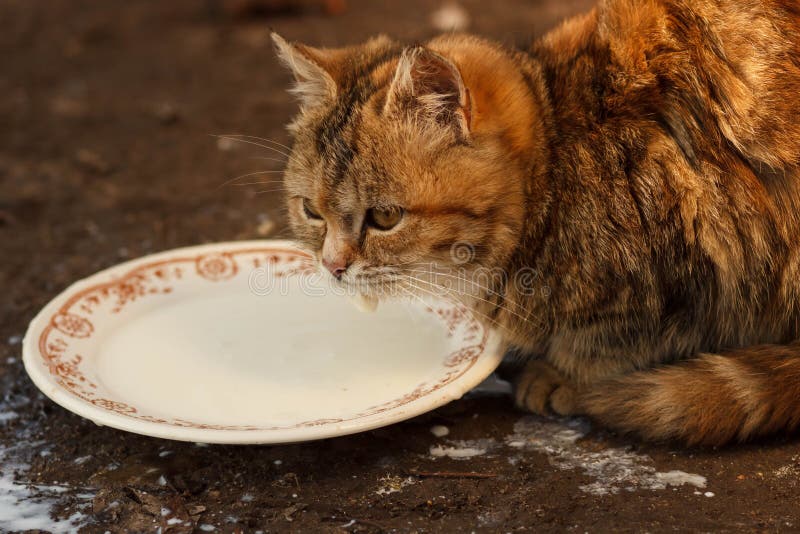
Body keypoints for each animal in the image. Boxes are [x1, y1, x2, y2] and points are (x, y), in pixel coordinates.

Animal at [272, 0, 800, 448]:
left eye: (384, 217)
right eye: (312, 211)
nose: (333, 266)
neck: (556, 161)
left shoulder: (688, 261)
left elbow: (618, 337)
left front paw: (563, 374)